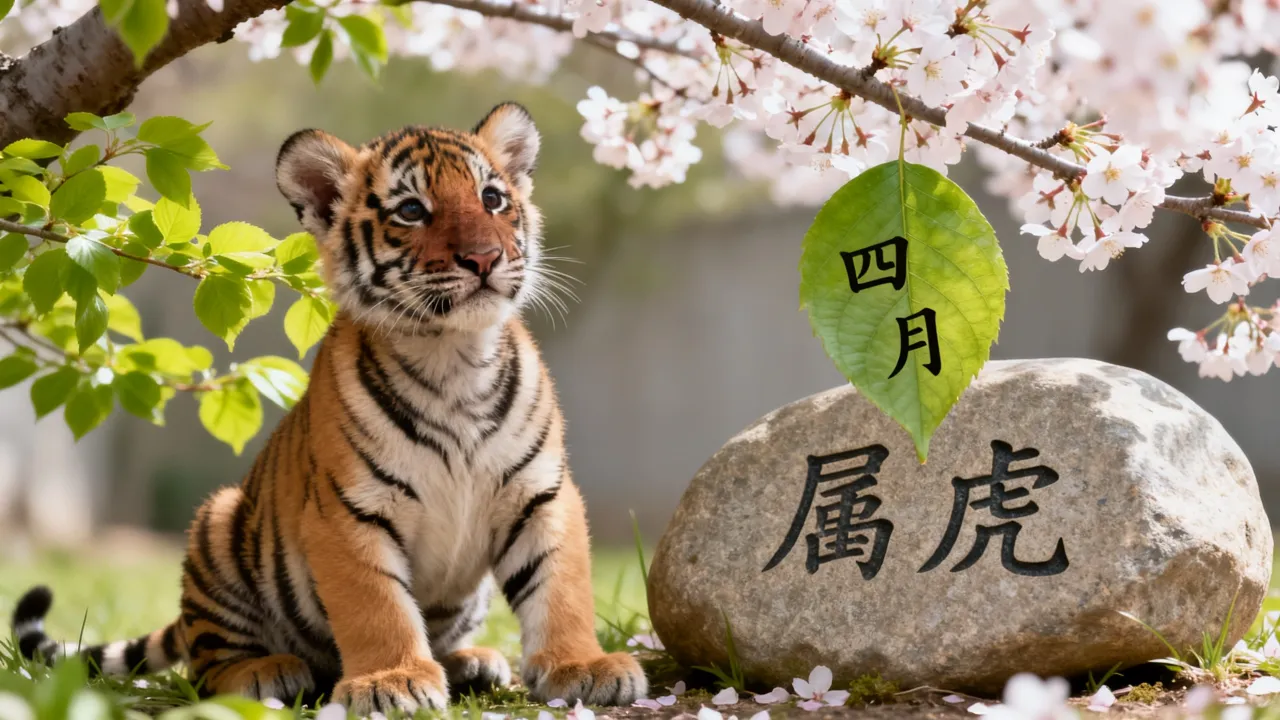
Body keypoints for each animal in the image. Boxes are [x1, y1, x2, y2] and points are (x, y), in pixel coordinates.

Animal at [9, 102, 647, 714]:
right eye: (411, 210)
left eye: (492, 199)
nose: (485, 257)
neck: (453, 356)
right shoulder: (350, 510)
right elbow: (377, 604)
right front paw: (393, 681)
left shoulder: (543, 495)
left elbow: (561, 589)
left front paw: (584, 667)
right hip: (218, 522)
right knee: (206, 665)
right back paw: (264, 671)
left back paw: (471, 661)